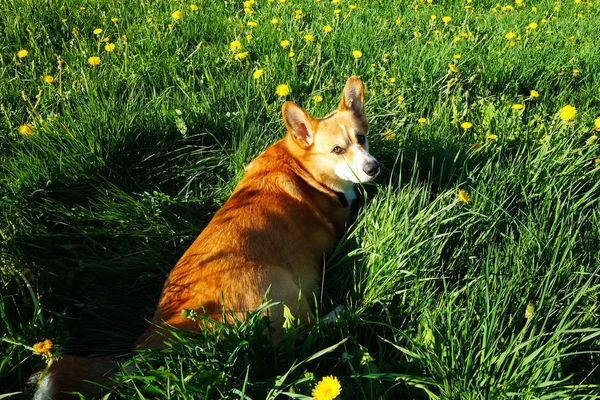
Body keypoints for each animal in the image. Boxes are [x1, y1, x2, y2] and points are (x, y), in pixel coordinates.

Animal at [30, 76, 378, 398]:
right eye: (337, 150)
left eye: (362, 138)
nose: (373, 168)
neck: (301, 165)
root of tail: (164, 333)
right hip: (279, 283)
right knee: (306, 335)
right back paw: (343, 312)